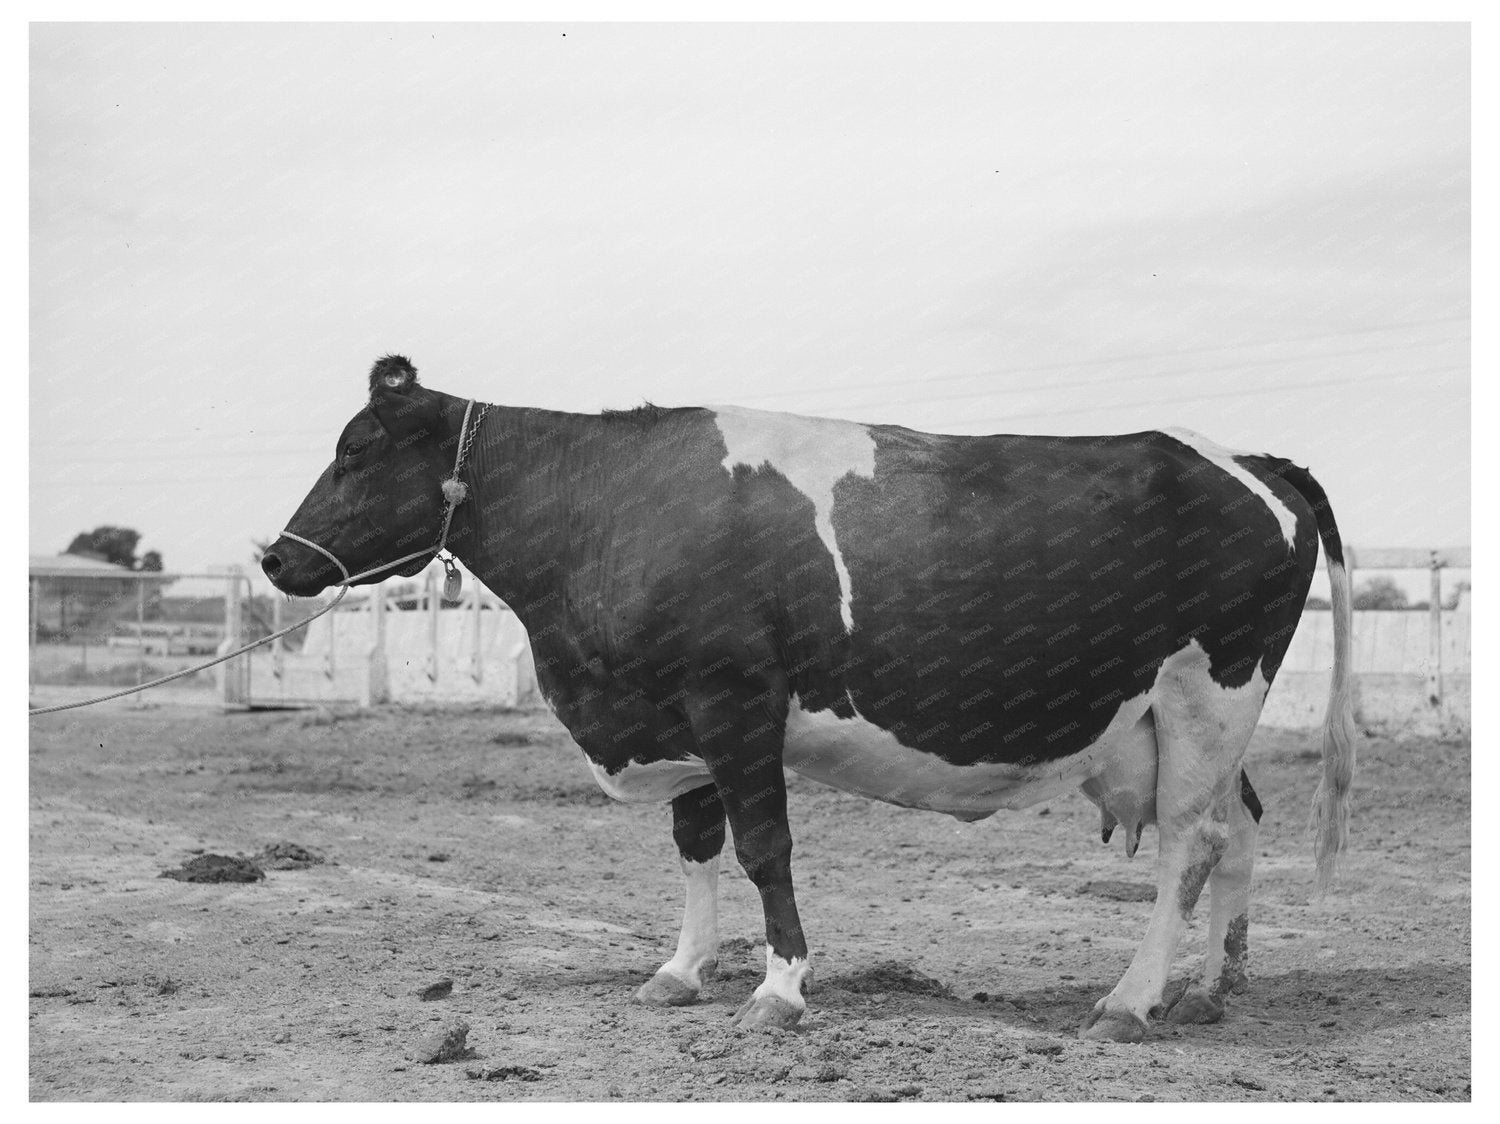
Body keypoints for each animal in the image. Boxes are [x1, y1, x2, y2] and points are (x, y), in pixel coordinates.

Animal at [261, 354, 1355, 1042]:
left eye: (357, 449)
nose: (274, 556)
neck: (605, 508)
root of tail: (1249, 458)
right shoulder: (680, 717)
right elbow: (696, 847)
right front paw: (680, 973)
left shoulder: (734, 697)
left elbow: (763, 847)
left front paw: (781, 988)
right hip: (1189, 717)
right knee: (1238, 827)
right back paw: (1209, 987)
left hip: (1211, 691)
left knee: (1189, 845)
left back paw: (1130, 1001)